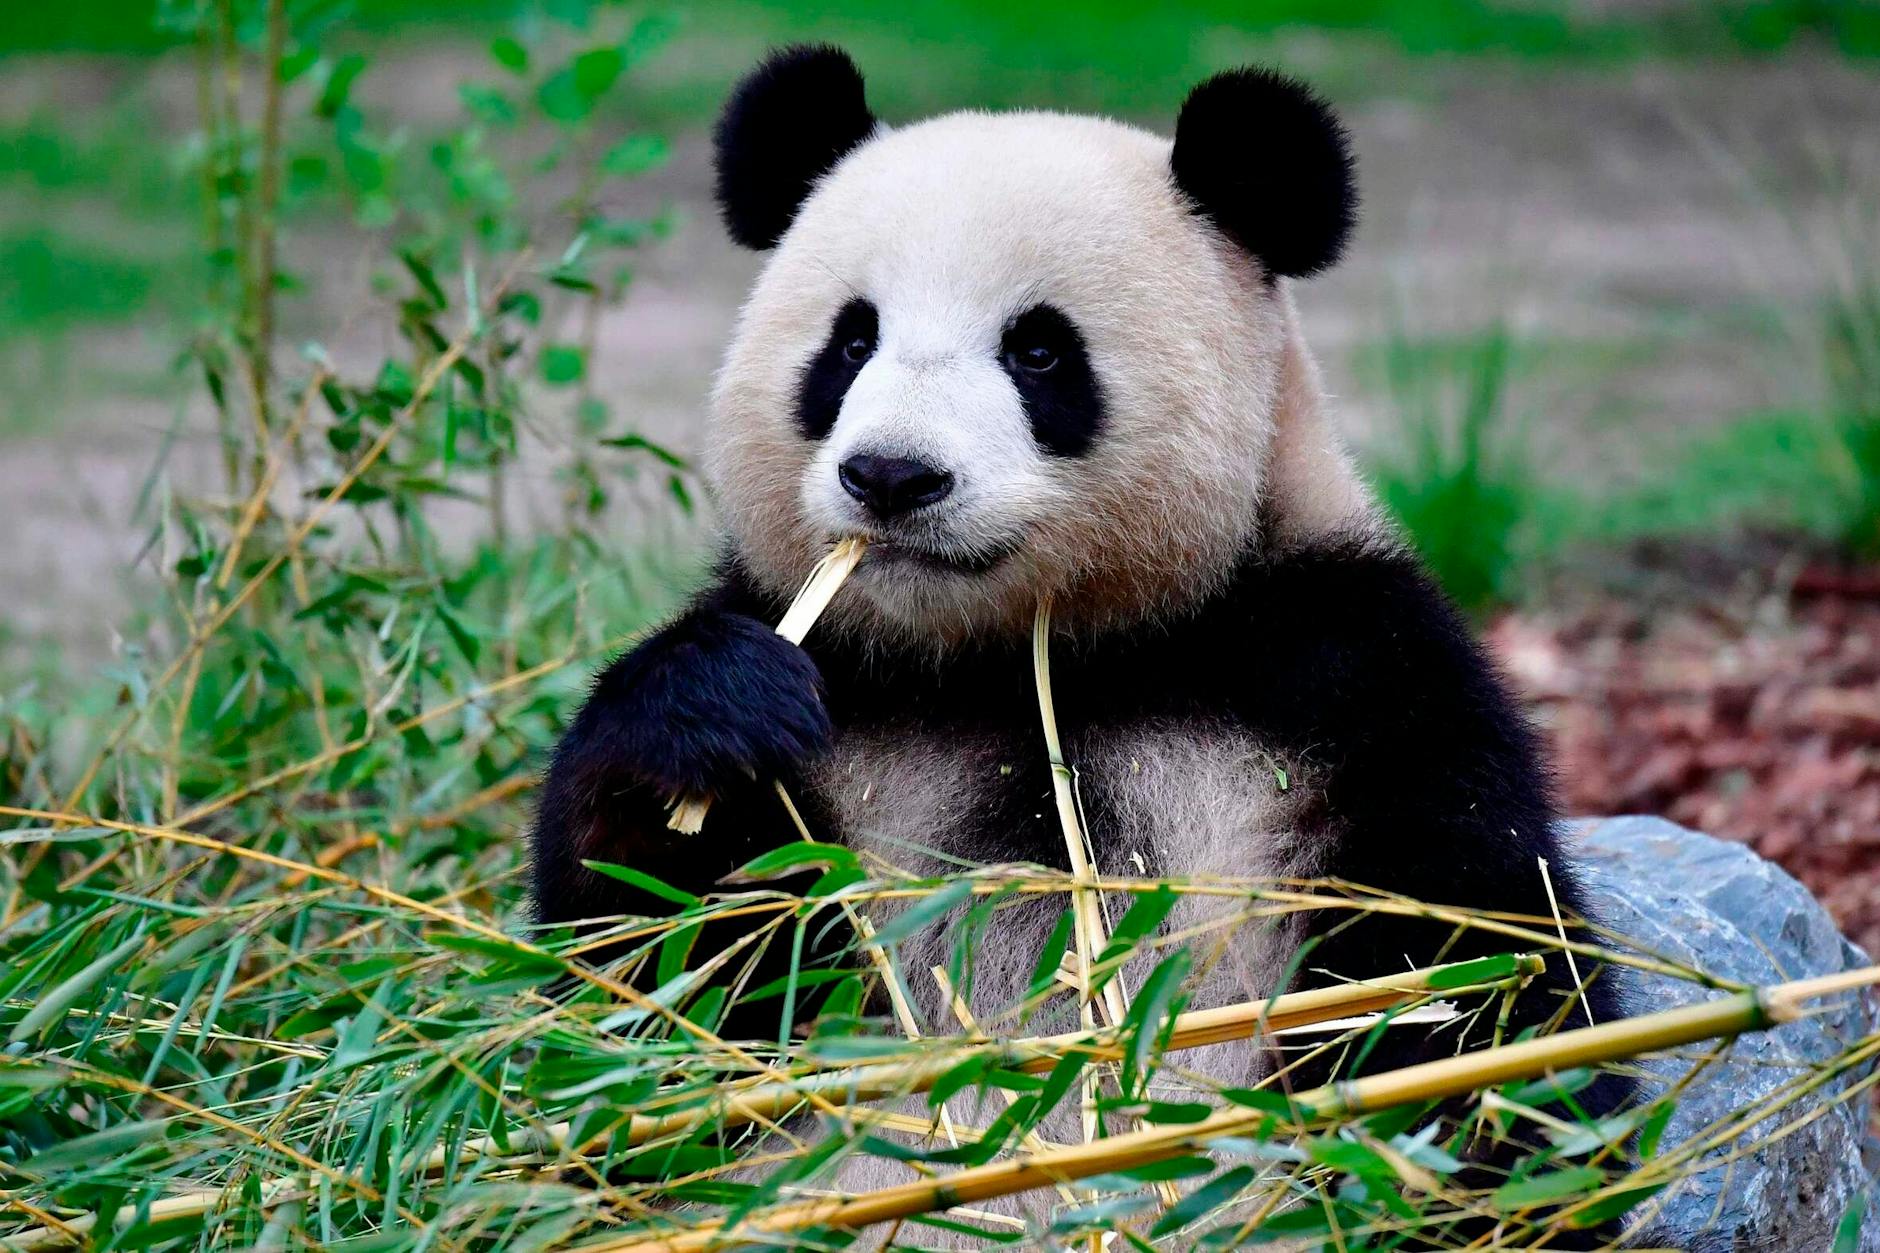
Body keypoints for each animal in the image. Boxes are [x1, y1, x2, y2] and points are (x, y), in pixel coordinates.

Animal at [531, 43, 1634, 1243]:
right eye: (851, 341)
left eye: (1039, 350)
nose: (893, 475)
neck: (1026, 656)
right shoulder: (842, 705)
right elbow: (647, 1001)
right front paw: (708, 712)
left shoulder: (1347, 675)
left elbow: (1467, 977)